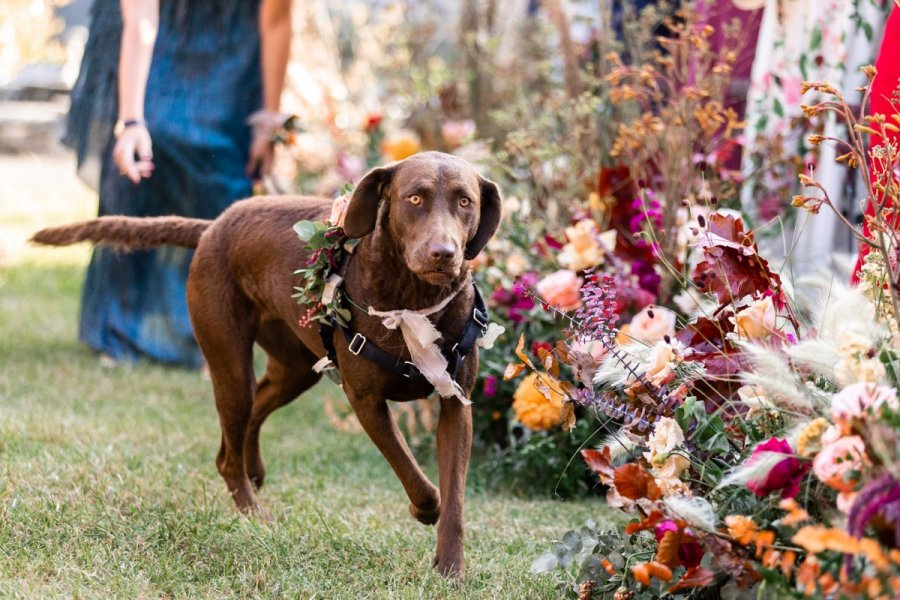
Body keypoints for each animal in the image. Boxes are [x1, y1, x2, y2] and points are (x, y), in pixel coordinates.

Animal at [33, 152, 500, 580]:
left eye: (465, 202)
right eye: (414, 198)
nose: (443, 253)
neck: (412, 301)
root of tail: (213, 226)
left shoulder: (456, 404)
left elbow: (454, 497)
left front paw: (451, 568)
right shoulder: (366, 401)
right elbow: (414, 473)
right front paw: (424, 511)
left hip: (291, 369)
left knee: (244, 426)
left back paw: (252, 470)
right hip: (230, 364)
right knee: (231, 447)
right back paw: (253, 514)